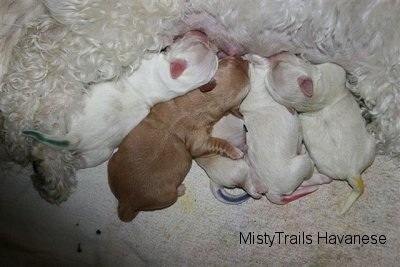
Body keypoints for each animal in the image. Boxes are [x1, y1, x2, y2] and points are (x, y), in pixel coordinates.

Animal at [22, 30, 219, 204]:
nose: (204, 34)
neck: (169, 82)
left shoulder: (146, 62)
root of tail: (74, 138)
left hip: (94, 148)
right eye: (203, 45)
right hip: (98, 153)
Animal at [106, 57, 250, 222]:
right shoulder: (198, 143)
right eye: (230, 61)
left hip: (113, 161)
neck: (201, 103)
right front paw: (236, 152)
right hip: (168, 196)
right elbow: (219, 142)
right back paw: (180, 189)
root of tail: (126, 202)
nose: (244, 59)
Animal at [266, 52, 376, 216]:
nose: (274, 55)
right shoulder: (333, 71)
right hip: (370, 147)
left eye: (278, 64)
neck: (314, 103)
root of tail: (353, 172)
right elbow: (338, 69)